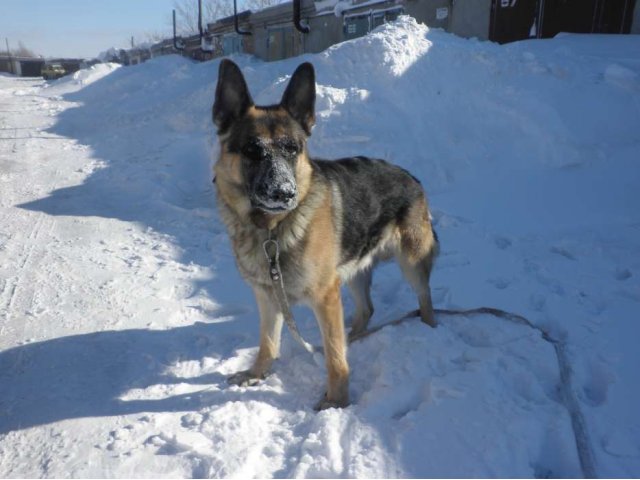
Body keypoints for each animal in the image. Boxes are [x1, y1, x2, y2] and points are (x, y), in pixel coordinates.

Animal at [212, 59, 438, 408]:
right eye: (252, 150)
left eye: (293, 149)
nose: (284, 193)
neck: (271, 231)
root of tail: (412, 177)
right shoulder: (268, 296)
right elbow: (268, 341)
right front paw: (257, 374)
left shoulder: (325, 296)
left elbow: (333, 357)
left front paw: (336, 403)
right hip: (355, 270)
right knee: (366, 310)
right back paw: (356, 338)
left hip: (411, 263)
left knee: (426, 301)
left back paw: (428, 333)